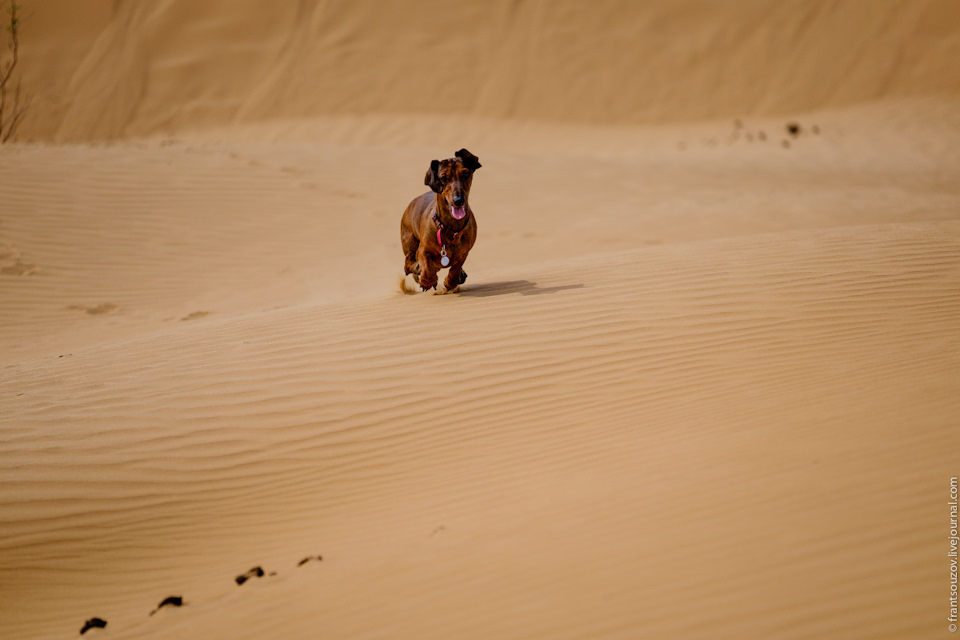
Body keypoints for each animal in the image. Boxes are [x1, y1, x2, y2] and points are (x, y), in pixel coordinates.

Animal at [402, 149, 484, 292]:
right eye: (443, 178)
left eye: (466, 174)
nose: (459, 200)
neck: (450, 229)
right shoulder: (423, 250)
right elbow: (427, 268)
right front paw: (427, 281)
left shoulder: (464, 253)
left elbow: (455, 268)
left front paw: (451, 282)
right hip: (409, 242)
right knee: (408, 265)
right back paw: (417, 268)